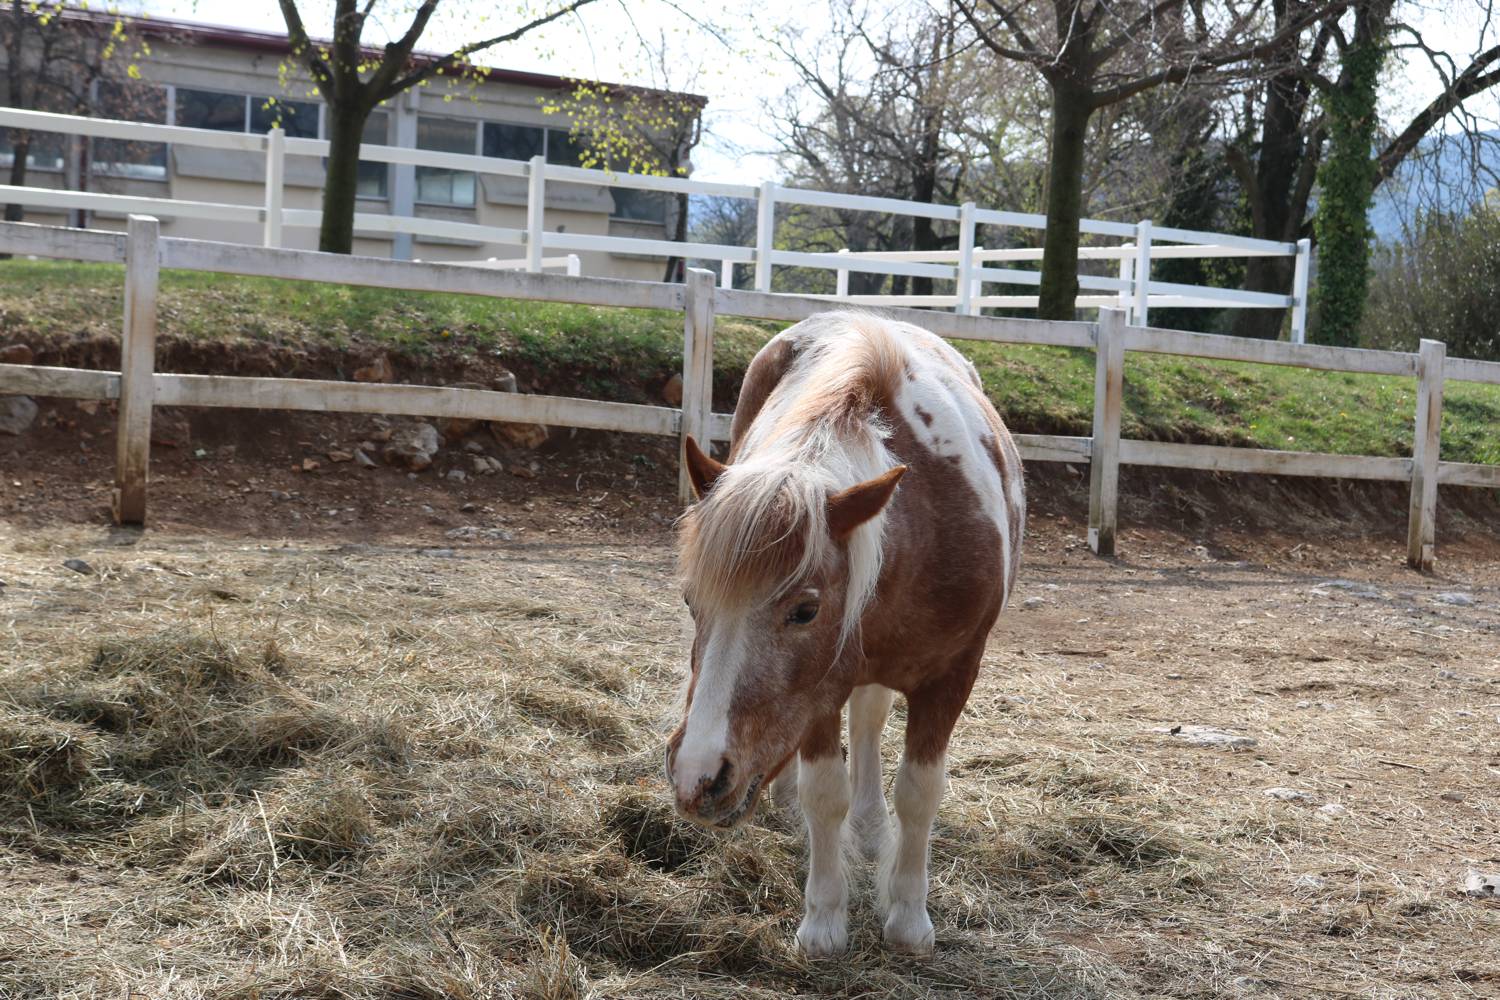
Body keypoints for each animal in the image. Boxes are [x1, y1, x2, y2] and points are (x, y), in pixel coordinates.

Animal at [672, 310, 1032, 953]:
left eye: (806, 611)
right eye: (692, 601)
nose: (697, 777)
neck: (924, 525)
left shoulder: (953, 674)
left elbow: (919, 790)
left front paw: (908, 916)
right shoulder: (818, 690)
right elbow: (823, 792)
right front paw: (824, 919)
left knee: (870, 721)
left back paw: (870, 826)